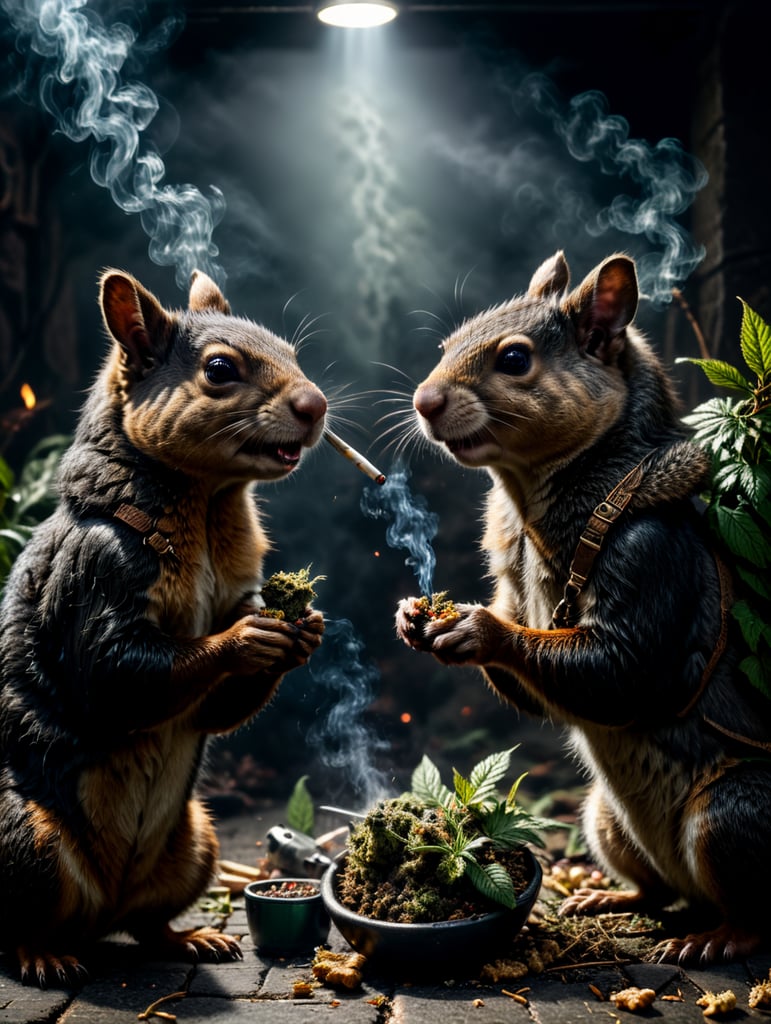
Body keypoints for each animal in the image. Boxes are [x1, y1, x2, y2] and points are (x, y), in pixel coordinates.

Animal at [0, 268, 327, 986]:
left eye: (294, 352)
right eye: (219, 370)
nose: (316, 405)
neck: (207, 503)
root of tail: (97, 910)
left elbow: (211, 711)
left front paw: (303, 631)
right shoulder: (95, 575)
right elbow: (116, 674)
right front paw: (244, 640)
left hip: (194, 842)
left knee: (146, 925)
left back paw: (189, 938)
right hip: (27, 842)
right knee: (22, 923)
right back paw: (43, 956)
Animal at [396, 250, 771, 964]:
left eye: (516, 359)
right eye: (446, 344)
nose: (424, 401)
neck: (528, 503)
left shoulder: (651, 557)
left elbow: (617, 670)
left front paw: (479, 630)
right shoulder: (515, 580)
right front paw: (414, 617)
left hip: (729, 817)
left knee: (748, 909)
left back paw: (715, 938)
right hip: (602, 819)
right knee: (657, 891)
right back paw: (608, 897)